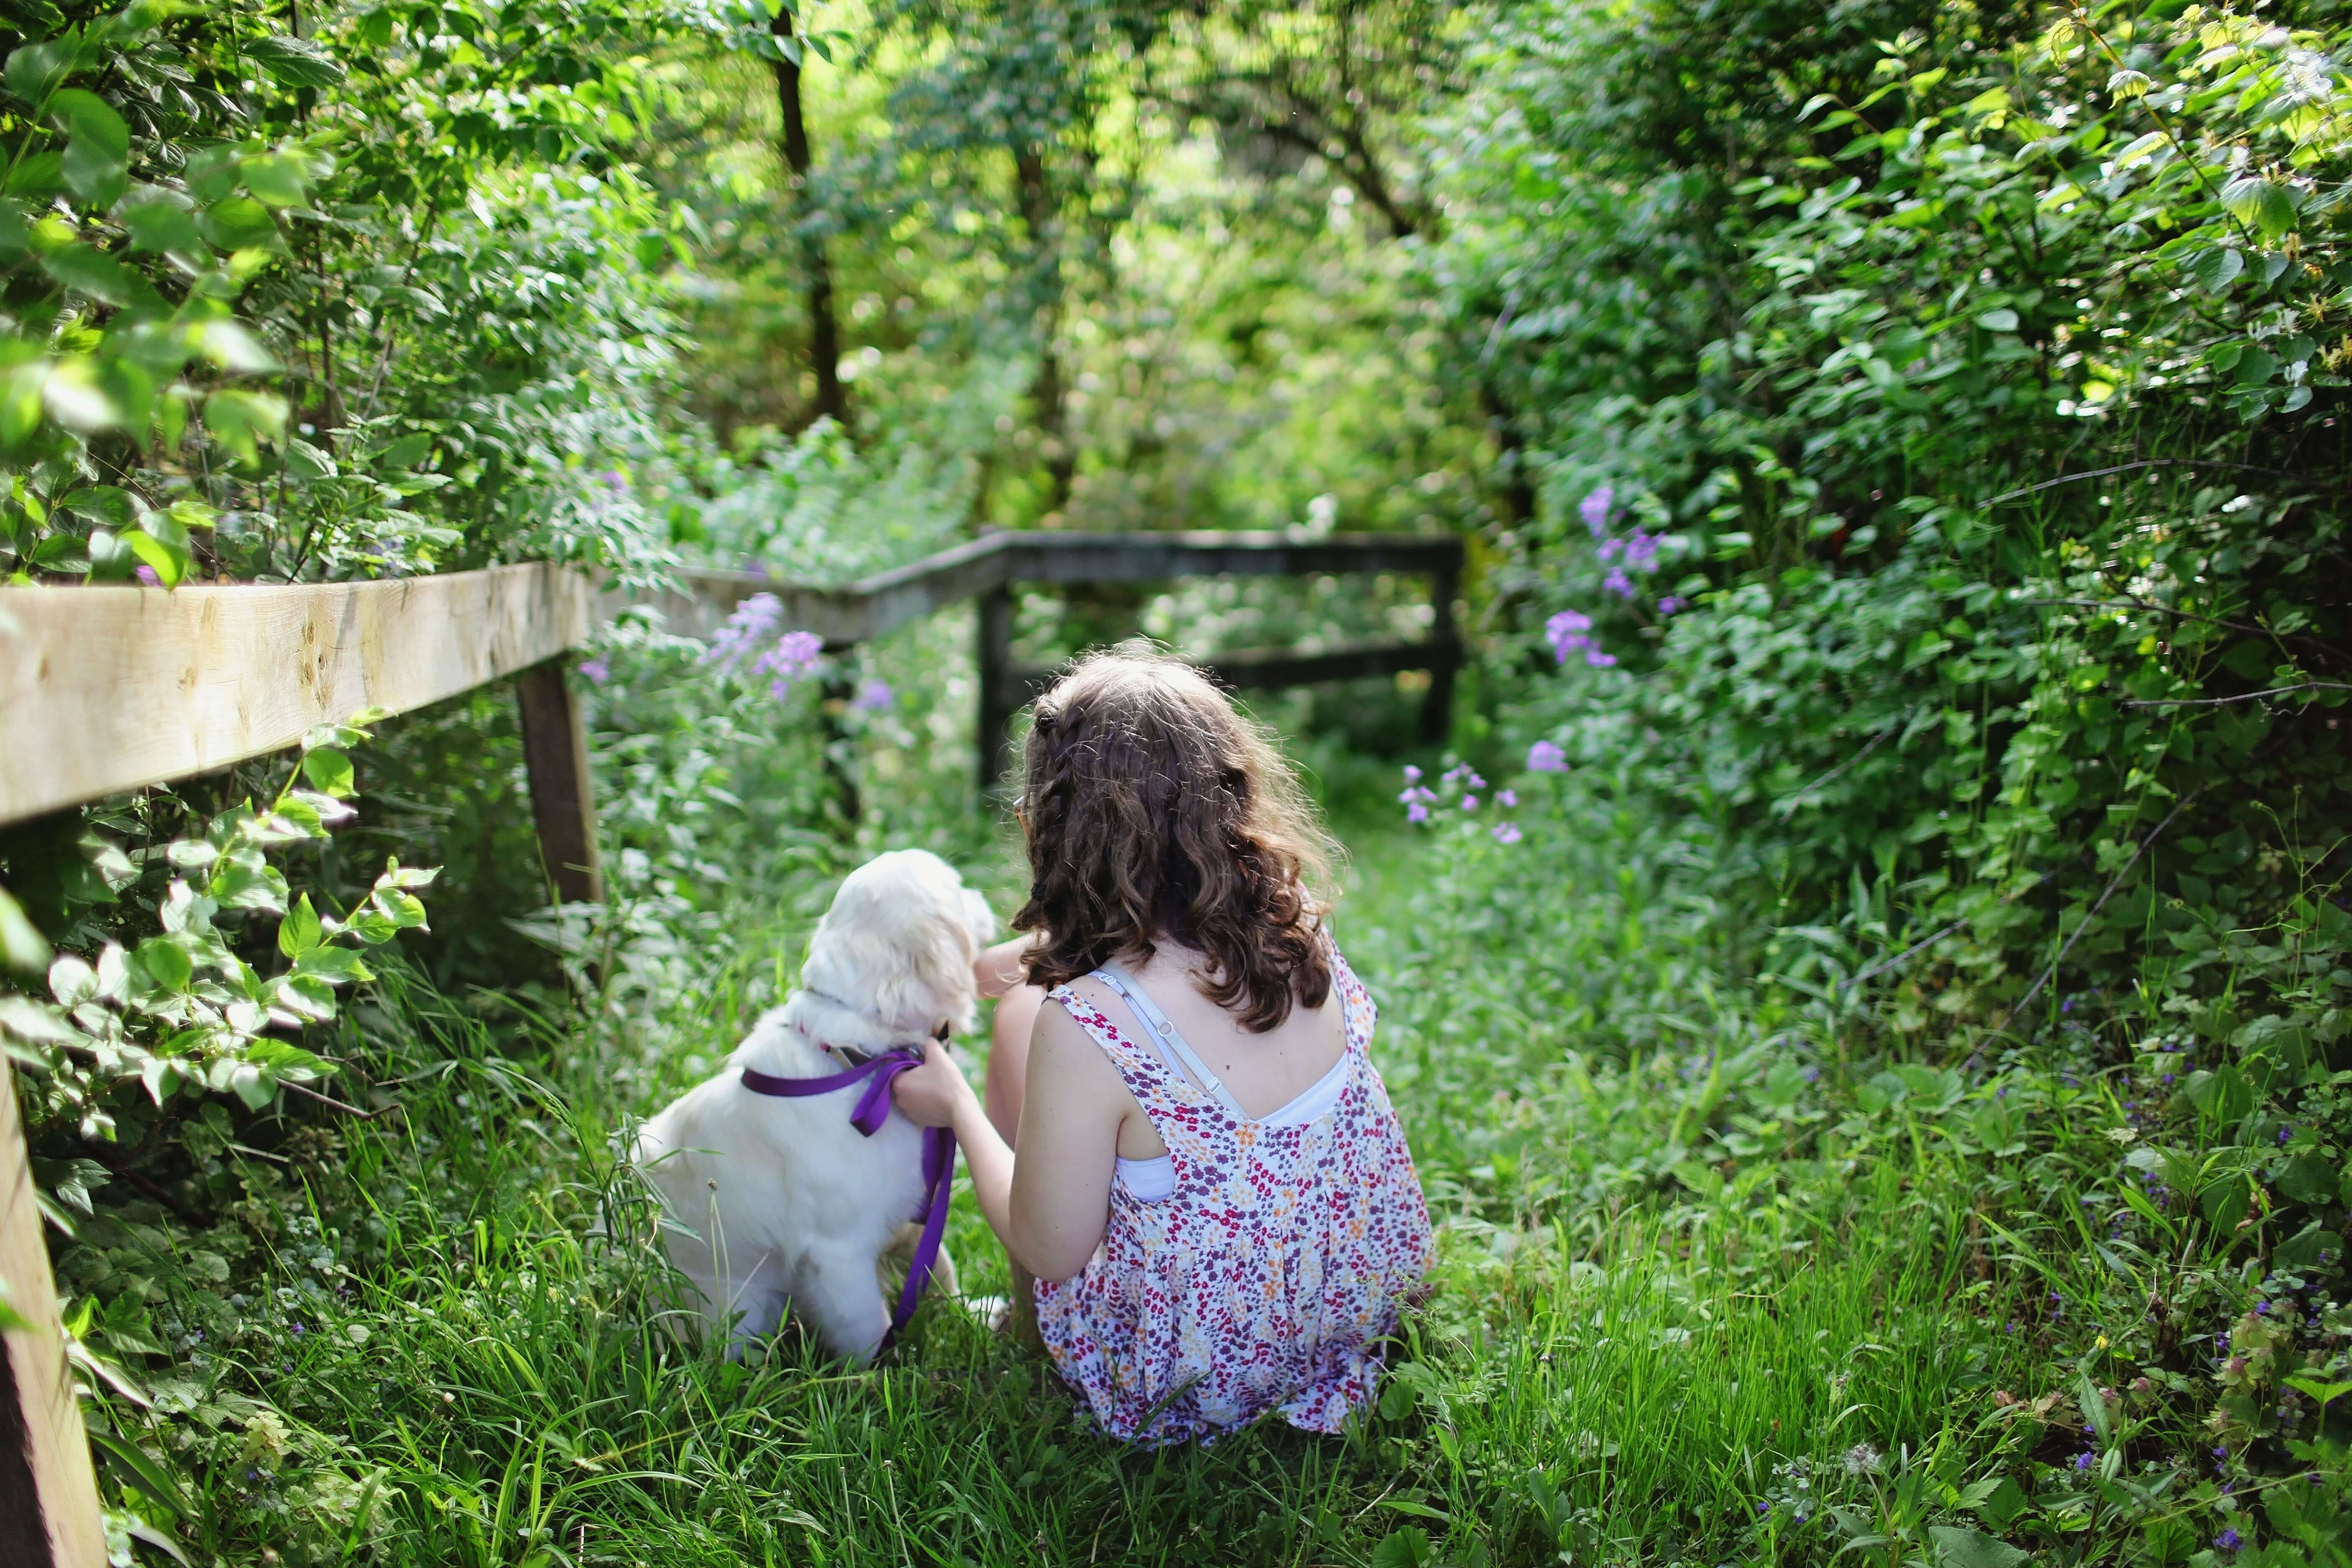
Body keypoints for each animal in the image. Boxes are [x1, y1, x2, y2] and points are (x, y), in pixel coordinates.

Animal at [635, 846, 992, 1363]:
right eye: (957, 887)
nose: (984, 895)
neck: (860, 1058)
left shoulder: (912, 1210)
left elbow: (937, 1268)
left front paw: (974, 1314)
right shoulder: (839, 1253)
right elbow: (869, 1329)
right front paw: (887, 1376)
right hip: (744, 1308)